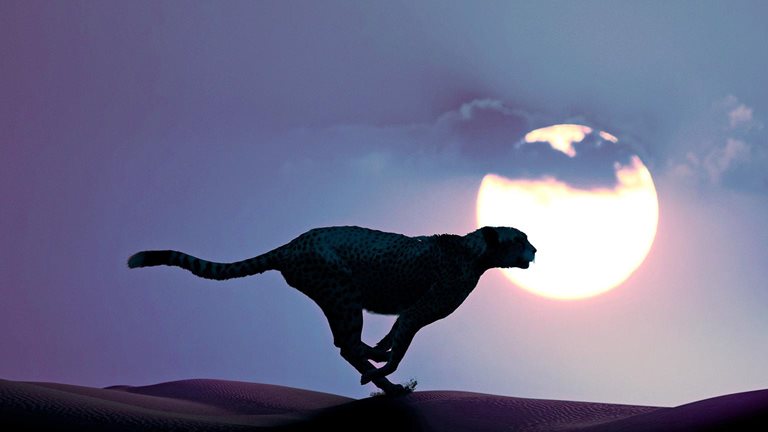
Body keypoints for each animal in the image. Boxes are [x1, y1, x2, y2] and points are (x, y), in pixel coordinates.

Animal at [127, 225, 536, 395]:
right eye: (519, 239)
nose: (535, 251)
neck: (476, 253)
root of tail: (292, 243)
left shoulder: (410, 312)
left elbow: (394, 335)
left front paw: (382, 350)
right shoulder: (418, 311)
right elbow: (401, 346)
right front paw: (385, 367)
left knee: (348, 345)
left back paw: (378, 372)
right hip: (344, 294)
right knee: (347, 345)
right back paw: (387, 385)